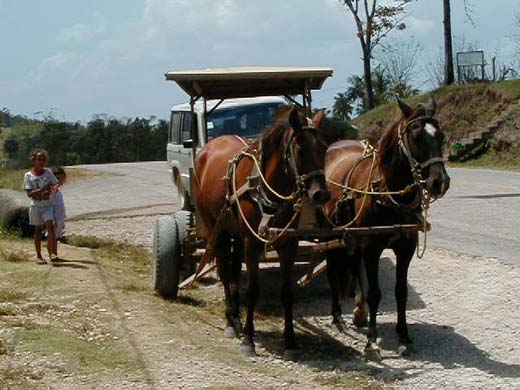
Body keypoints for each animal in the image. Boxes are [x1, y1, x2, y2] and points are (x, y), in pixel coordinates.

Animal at [193, 106, 332, 360]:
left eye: (324, 147)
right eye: (300, 148)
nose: (321, 194)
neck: (266, 188)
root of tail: (208, 148)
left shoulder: (287, 242)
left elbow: (286, 291)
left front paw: (290, 341)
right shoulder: (253, 242)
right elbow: (253, 290)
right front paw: (248, 340)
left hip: (236, 232)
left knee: (233, 271)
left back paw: (236, 316)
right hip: (216, 227)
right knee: (225, 272)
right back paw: (230, 321)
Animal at [324, 97, 450, 360]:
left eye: (441, 135)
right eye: (416, 136)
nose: (440, 182)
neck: (386, 192)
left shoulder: (406, 247)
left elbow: (400, 291)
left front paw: (404, 337)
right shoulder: (372, 248)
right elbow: (376, 293)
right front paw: (372, 341)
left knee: (353, 266)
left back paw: (358, 313)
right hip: (330, 235)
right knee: (332, 270)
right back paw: (337, 316)